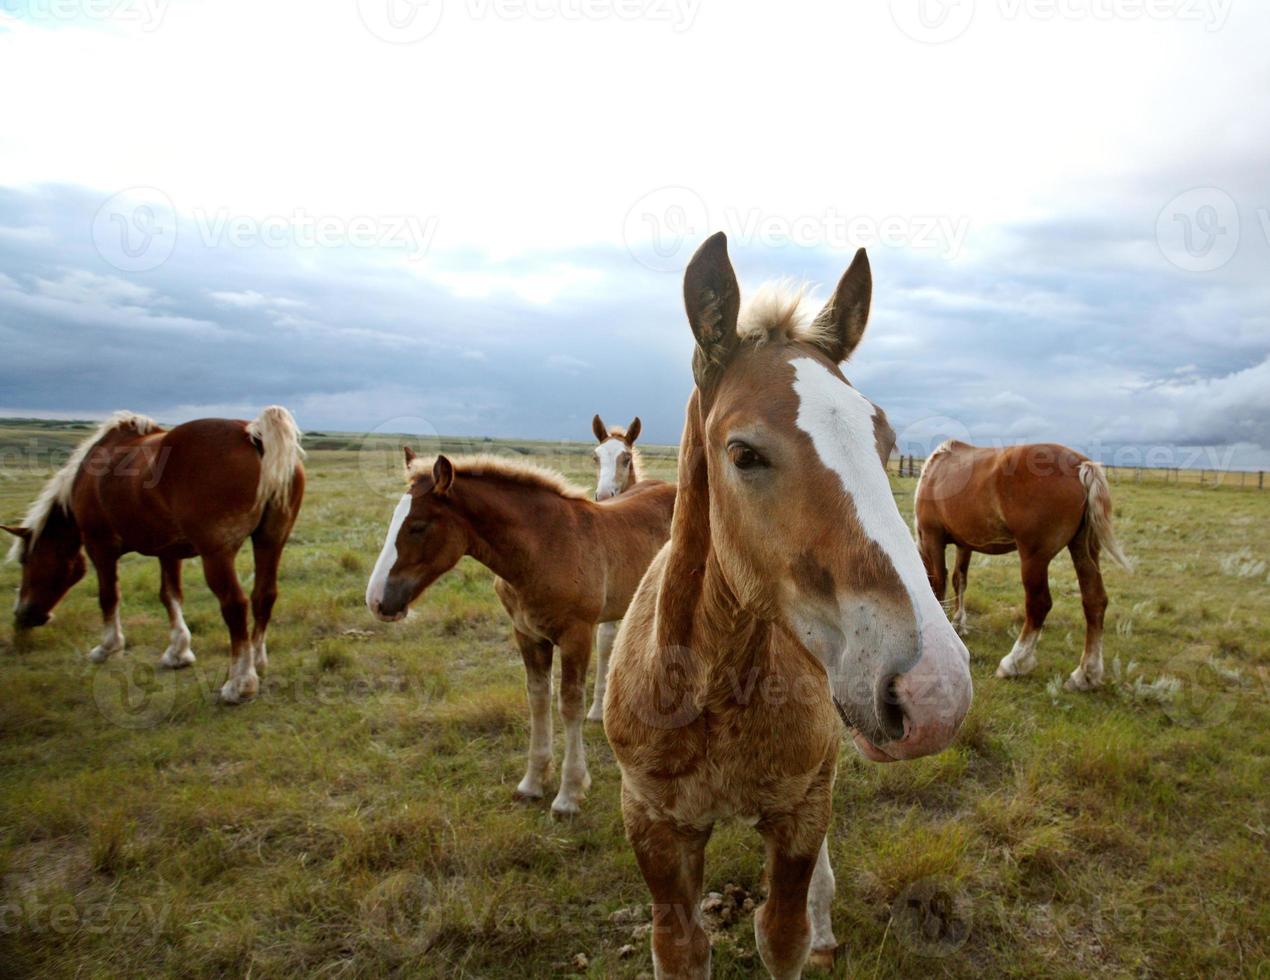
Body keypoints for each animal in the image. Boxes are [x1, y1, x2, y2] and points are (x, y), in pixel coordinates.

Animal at [3, 408, 304, 705]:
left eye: (25, 560)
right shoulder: (168, 551)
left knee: (236, 605)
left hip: (217, 554)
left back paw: (240, 682)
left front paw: (107, 647)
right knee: (264, 596)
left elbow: (108, 596)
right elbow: (170, 596)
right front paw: (178, 652)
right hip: (270, 542)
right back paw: (257, 662)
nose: (22, 615)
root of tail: (253, 433)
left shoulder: (100, 546)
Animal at [365, 451, 675, 817]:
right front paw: (532, 783)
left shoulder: (576, 634)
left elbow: (570, 705)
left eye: (417, 526)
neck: (544, 548)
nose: (376, 600)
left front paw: (569, 794)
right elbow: (538, 699)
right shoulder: (527, 634)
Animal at [604, 233, 970, 974]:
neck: (710, 688)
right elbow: (680, 946)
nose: (935, 691)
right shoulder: (654, 826)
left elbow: (783, 933)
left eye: (885, 442)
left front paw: (815, 929)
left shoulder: (800, 813)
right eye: (744, 452)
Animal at [914, 439, 1132, 690]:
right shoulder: (964, 544)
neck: (935, 472)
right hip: (1083, 550)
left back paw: (1013, 663)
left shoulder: (932, 537)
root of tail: (1080, 465)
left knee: (1039, 604)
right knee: (1094, 601)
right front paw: (958, 624)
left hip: (1033, 558)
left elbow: (938, 582)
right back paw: (1086, 674)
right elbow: (959, 580)